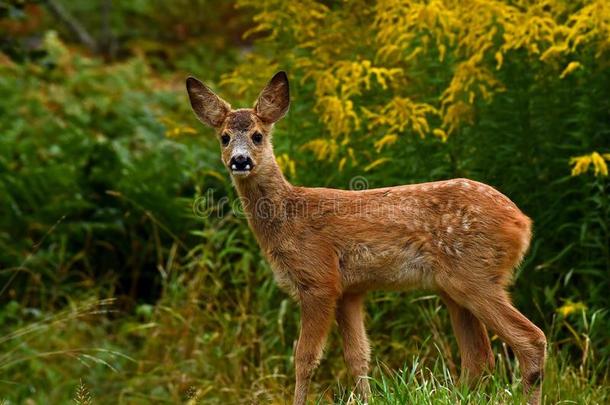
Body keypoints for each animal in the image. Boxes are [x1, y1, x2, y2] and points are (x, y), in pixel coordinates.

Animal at [185, 71, 548, 402]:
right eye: (224, 137)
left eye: (258, 136)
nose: (240, 160)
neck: (289, 215)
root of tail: (522, 222)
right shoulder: (350, 291)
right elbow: (358, 357)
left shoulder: (319, 279)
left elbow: (304, 358)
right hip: (453, 288)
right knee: (479, 357)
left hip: (474, 274)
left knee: (530, 340)